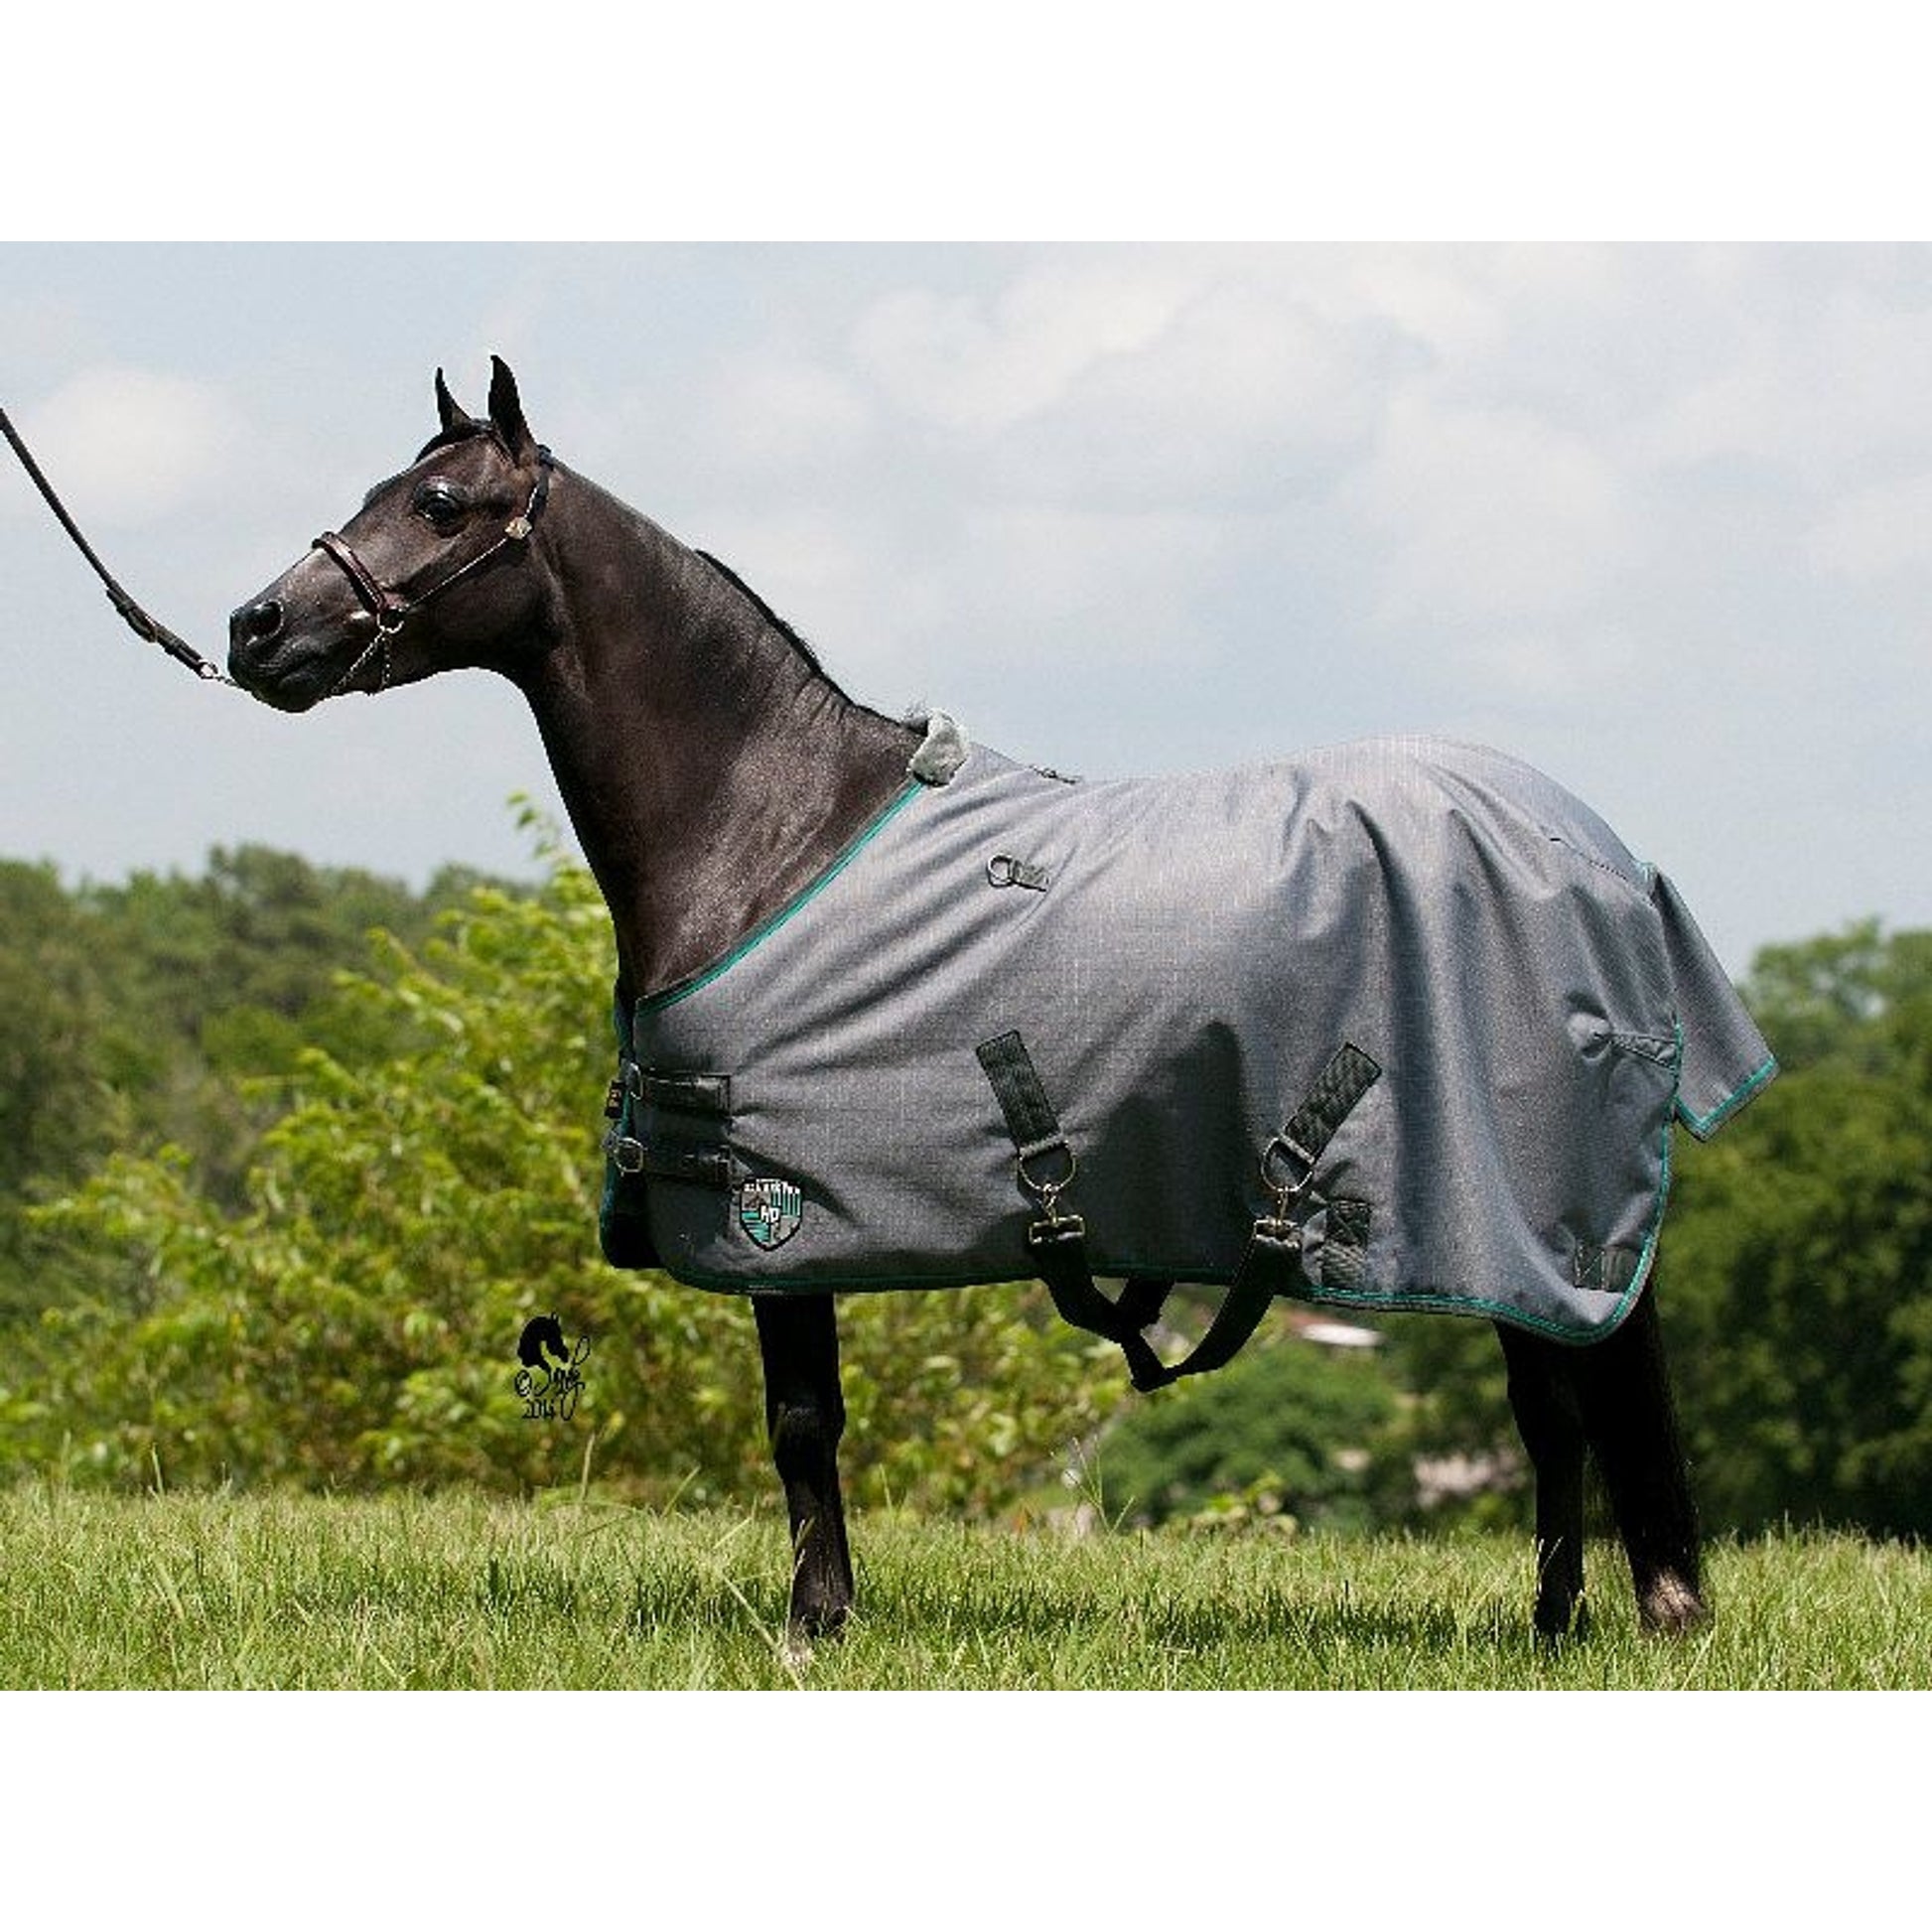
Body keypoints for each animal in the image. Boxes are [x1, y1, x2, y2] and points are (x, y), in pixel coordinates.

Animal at [228, 358, 1774, 1646]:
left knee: (1575, 1396)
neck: (771, 825)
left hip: (1519, 1206)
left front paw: (814, 1625)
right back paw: (1560, 1622)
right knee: (1555, 1410)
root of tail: (1609, 861)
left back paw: (1622, 1616)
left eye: (438, 504)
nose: (255, 629)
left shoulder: (777, 1207)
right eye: (373, 492)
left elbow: (802, 1421)